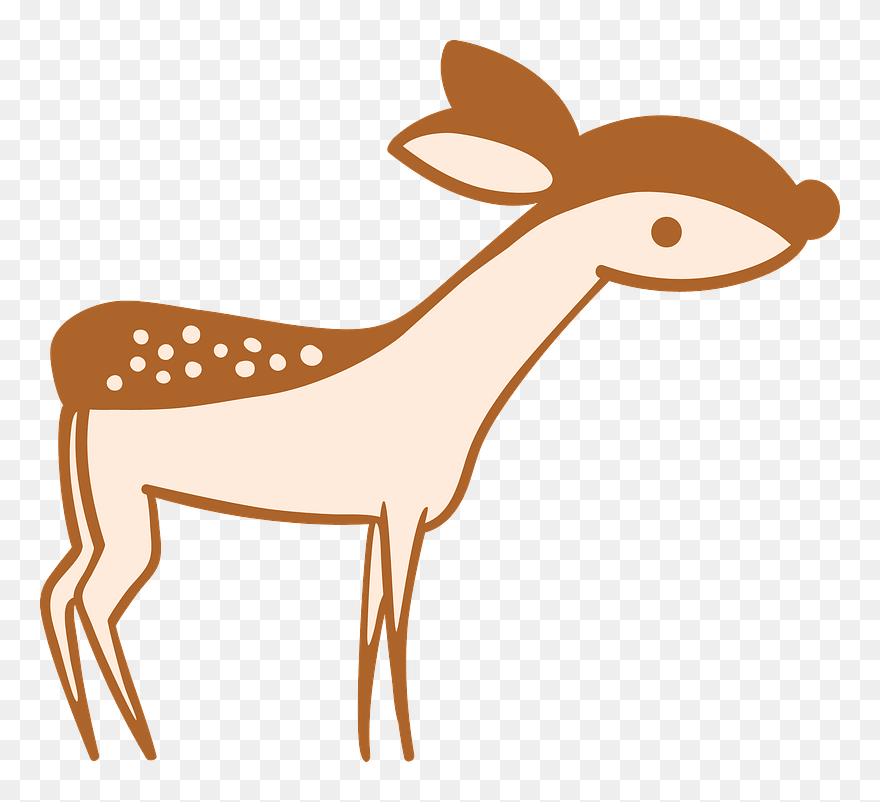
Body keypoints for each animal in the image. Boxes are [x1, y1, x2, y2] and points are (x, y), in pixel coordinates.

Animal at [41, 40, 839, 762]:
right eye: (666, 228)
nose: (815, 210)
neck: (443, 382)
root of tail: (65, 380)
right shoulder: (403, 508)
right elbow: (396, 627)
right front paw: (404, 748)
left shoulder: (379, 516)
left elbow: (371, 627)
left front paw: (370, 750)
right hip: (122, 500)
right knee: (90, 599)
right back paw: (137, 743)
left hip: (102, 507)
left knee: (62, 590)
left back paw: (106, 737)